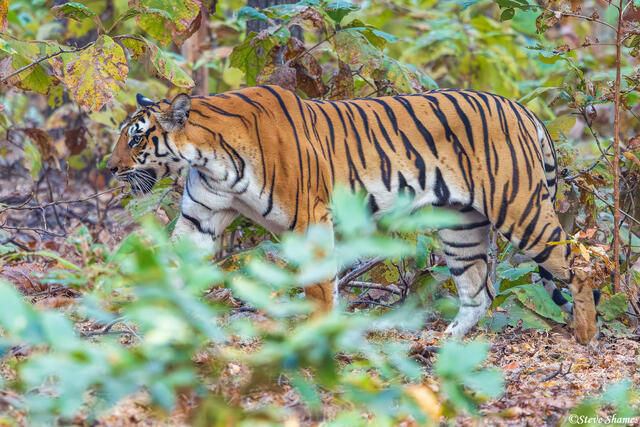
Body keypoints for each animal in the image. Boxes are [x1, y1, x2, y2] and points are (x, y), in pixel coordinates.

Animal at [107, 85, 599, 344]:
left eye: (136, 138)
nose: (109, 168)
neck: (209, 156)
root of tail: (524, 110)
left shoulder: (309, 219)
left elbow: (319, 289)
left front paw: (319, 339)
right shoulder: (201, 218)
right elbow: (168, 266)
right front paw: (141, 323)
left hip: (521, 211)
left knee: (578, 266)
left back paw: (586, 336)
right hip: (460, 225)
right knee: (479, 292)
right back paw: (444, 346)